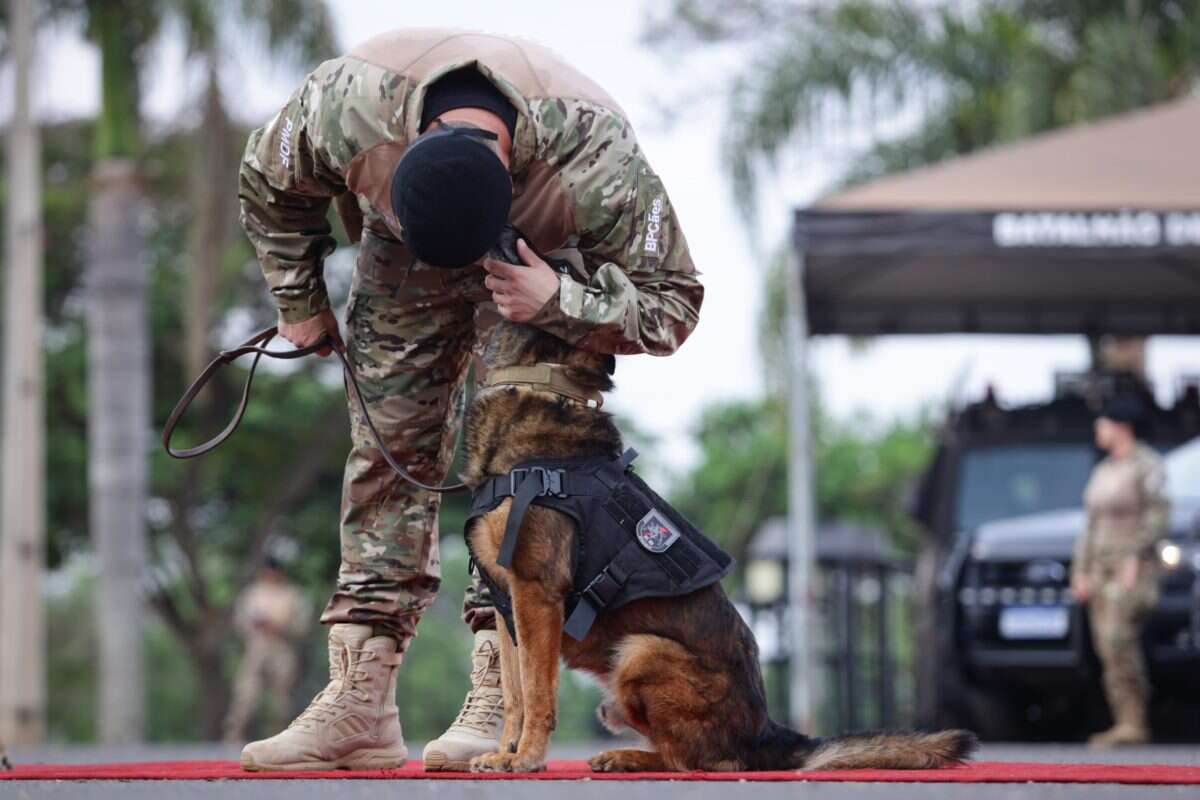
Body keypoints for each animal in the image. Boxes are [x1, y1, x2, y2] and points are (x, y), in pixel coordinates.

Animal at [458, 321, 974, 777]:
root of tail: (768, 734)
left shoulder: (537, 594)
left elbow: (537, 692)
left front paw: (527, 758)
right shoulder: (508, 604)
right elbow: (515, 694)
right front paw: (505, 752)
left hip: (641, 652)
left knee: (701, 762)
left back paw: (630, 758)